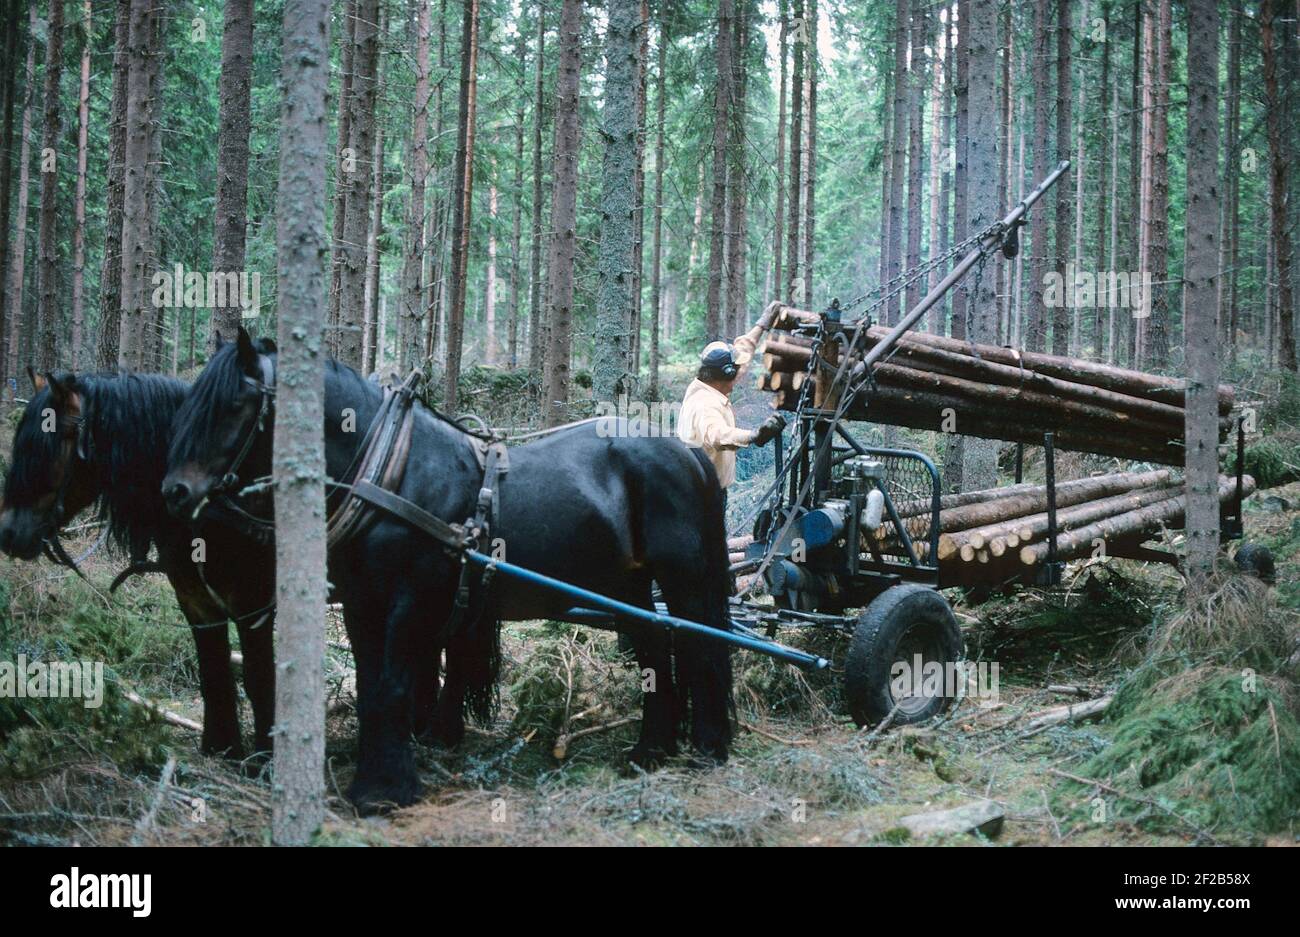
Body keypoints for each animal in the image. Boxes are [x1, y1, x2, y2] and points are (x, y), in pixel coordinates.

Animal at [0, 332, 733, 816]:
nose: (177, 492)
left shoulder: (385, 598)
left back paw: (706, 748)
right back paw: (649, 751)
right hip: (627, 587)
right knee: (657, 654)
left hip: (686, 579)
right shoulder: (335, 601)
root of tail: (690, 452)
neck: (385, 471)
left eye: (233, 407)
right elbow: (341, 678)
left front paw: (377, 786)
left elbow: (379, 681)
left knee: (703, 651)